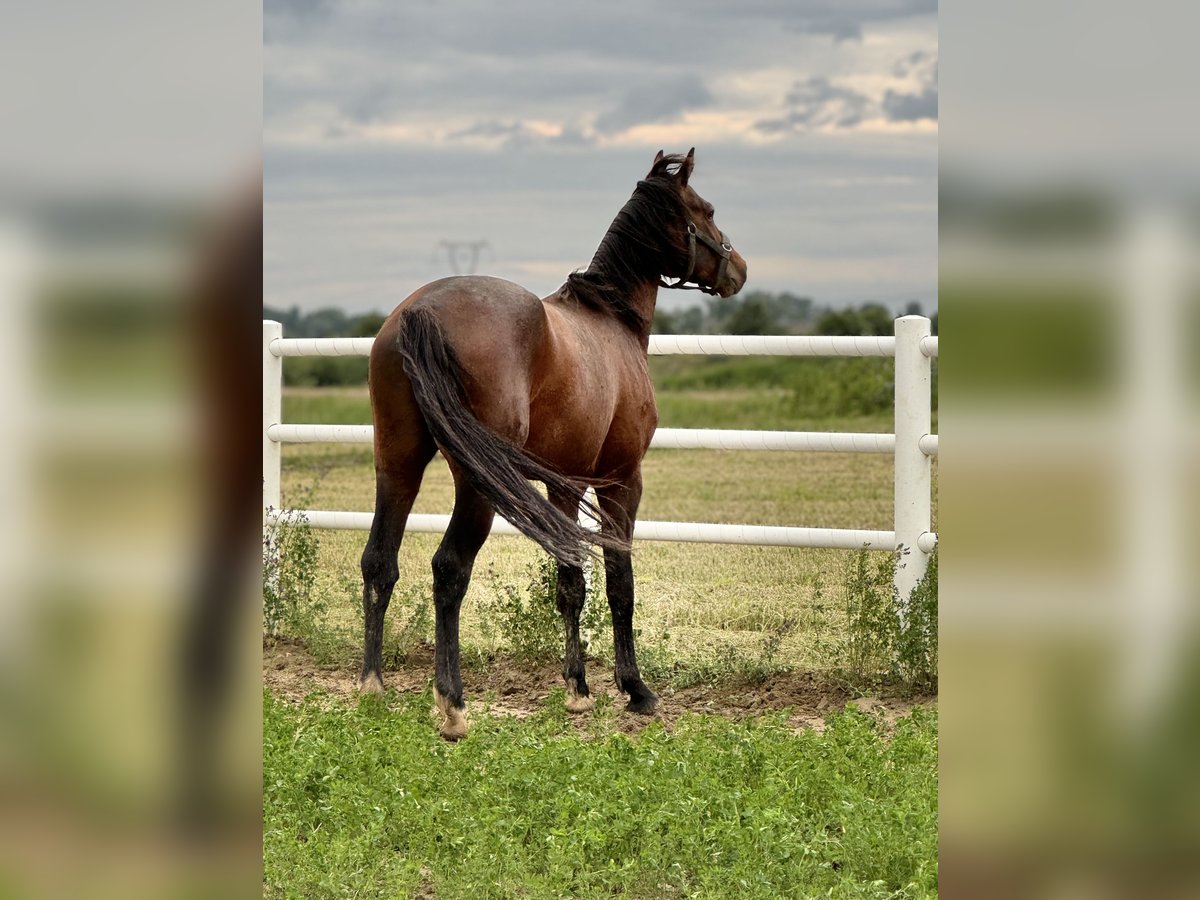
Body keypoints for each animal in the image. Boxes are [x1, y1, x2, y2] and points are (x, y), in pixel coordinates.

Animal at [359, 149, 747, 739]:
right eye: (705, 210)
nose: (739, 269)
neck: (610, 321)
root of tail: (419, 312)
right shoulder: (621, 481)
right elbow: (618, 582)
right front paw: (635, 689)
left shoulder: (565, 486)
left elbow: (569, 583)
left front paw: (578, 690)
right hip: (477, 487)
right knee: (449, 568)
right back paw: (452, 704)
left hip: (399, 464)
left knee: (380, 561)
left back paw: (372, 686)